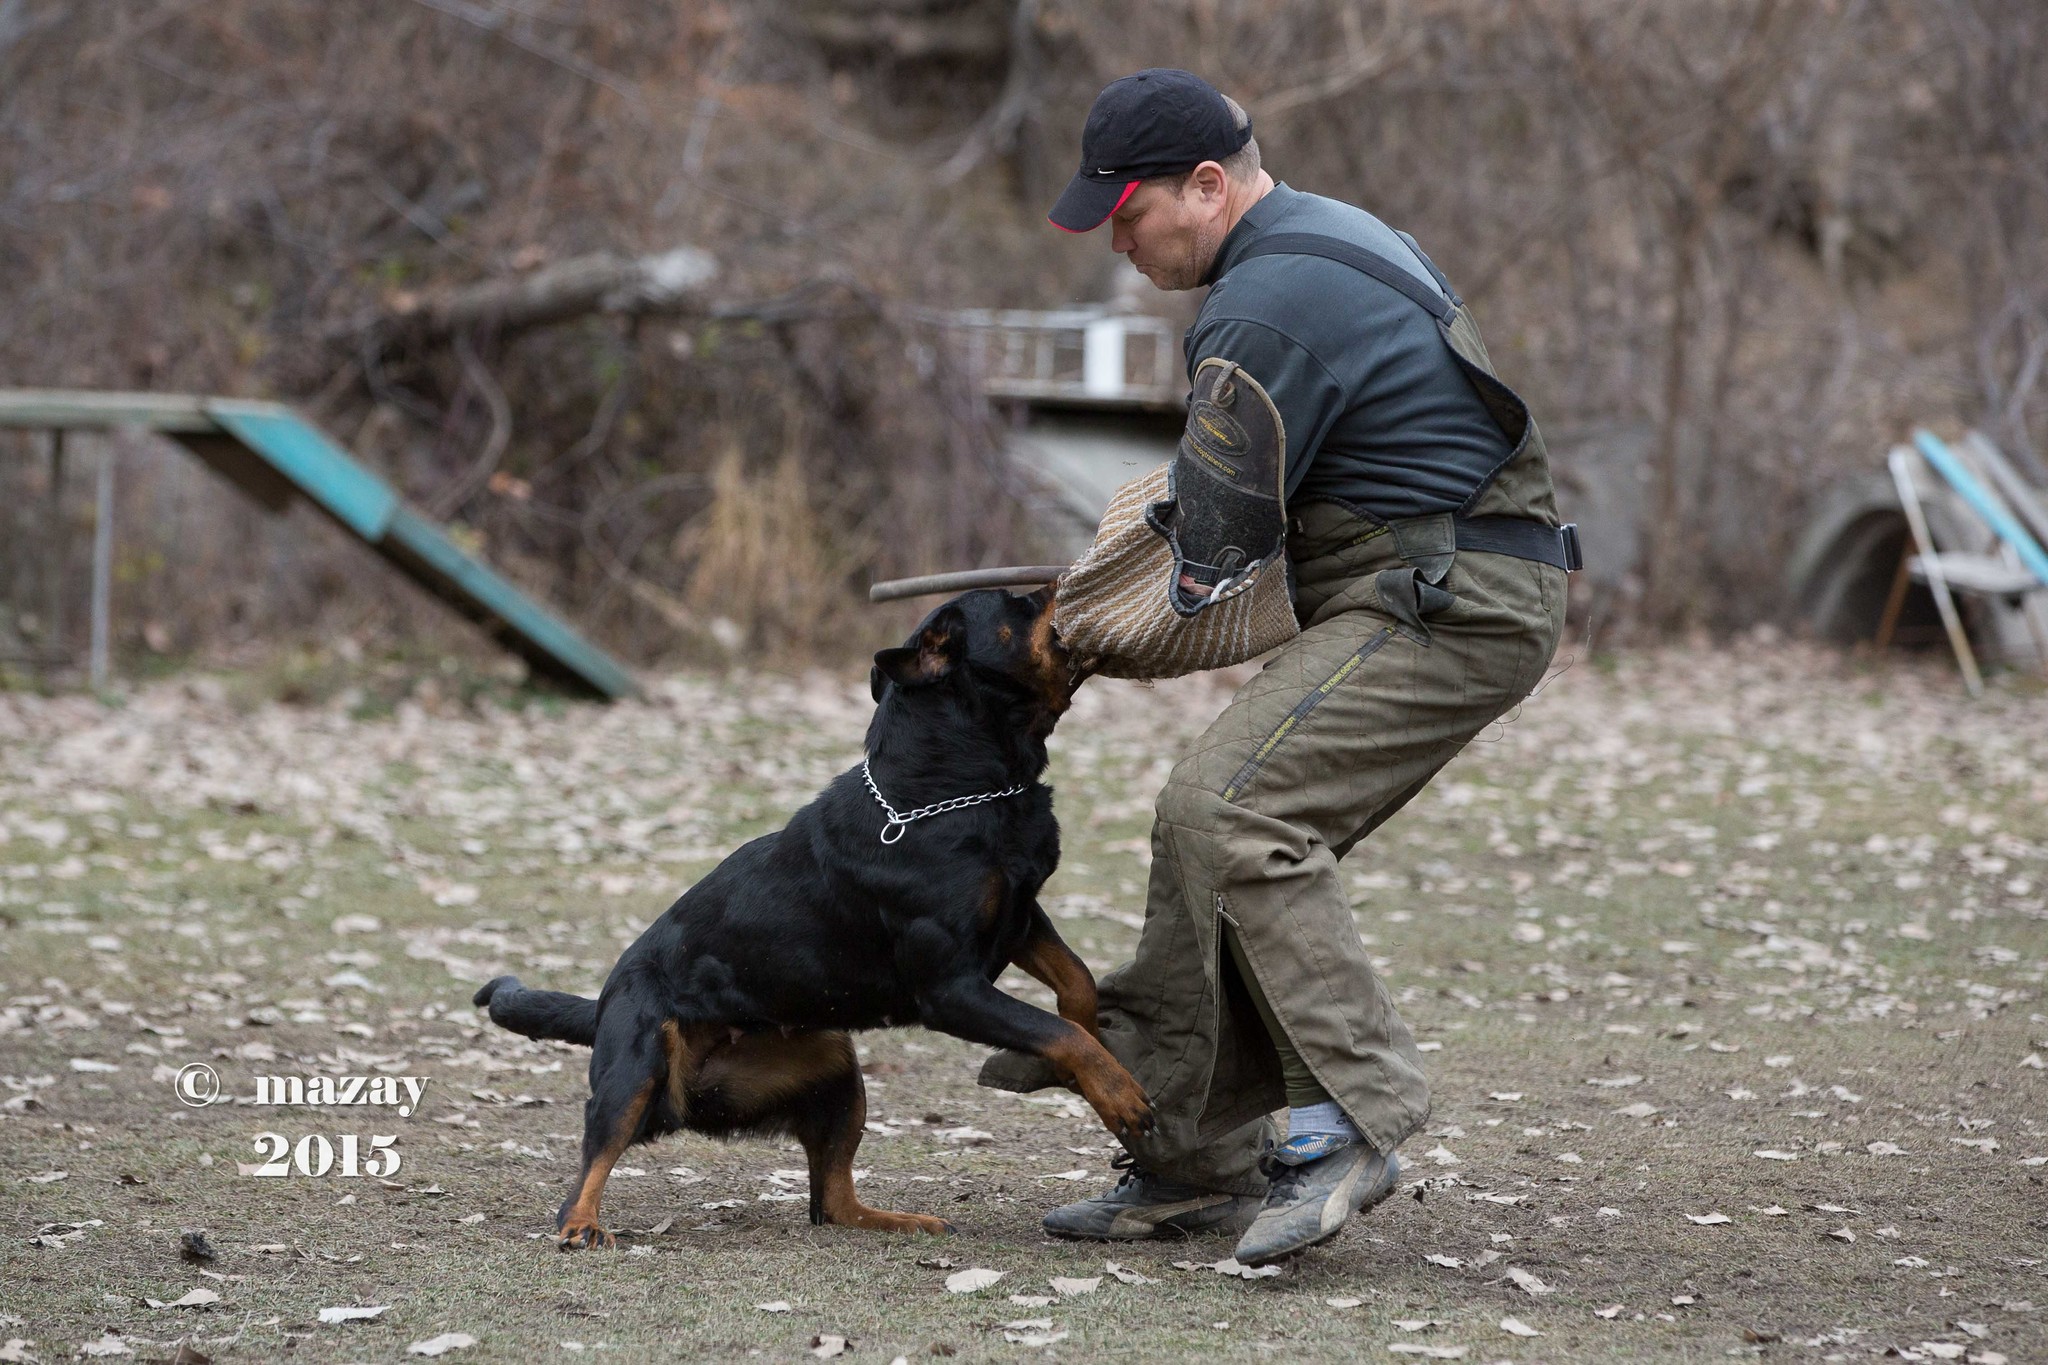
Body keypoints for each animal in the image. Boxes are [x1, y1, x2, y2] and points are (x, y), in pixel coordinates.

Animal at [475, 589, 1155, 1252]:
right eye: (1020, 603)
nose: (1061, 583)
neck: (953, 787)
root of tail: (604, 1000)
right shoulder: (951, 989)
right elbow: (1054, 1030)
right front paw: (1116, 1091)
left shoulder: (1018, 914)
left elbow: (1075, 982)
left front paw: (1092, 1038)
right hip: (638, 1063)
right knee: (598, 1153)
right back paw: (580, 1226)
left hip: (834, 1071)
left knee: (831, 1203)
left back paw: (901, 1222)